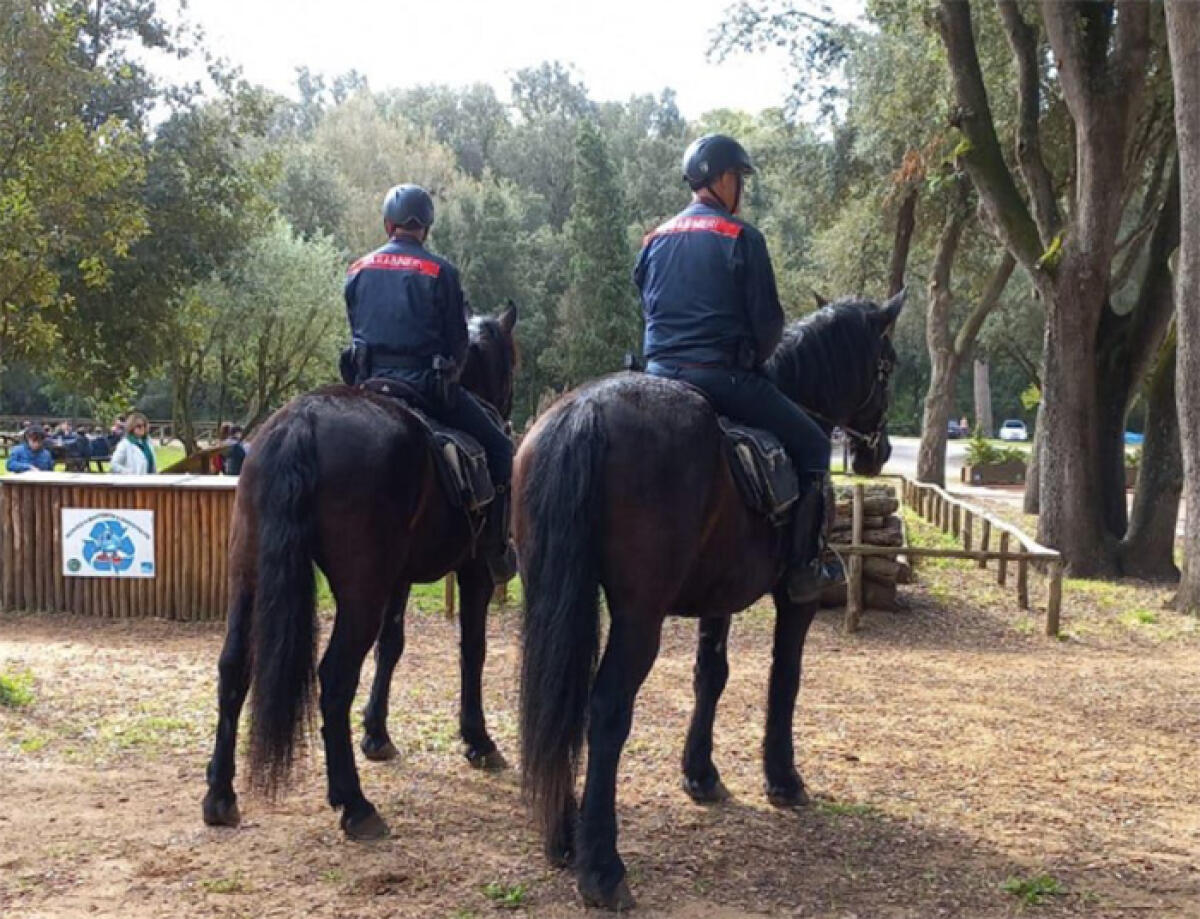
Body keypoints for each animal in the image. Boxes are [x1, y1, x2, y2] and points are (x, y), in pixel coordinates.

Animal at [202, 304, 518, 841]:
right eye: (512, 361)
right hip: (359, 593)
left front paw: (377, 733)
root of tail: (302, 422)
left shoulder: (398, 578)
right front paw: (478, 739)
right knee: (333, 678)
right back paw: (354, 803)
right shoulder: (474, 571)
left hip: (249, 578)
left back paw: (220, 793)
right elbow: (472, 650)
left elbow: (392, 646)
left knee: (233, 668)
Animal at [514, 293, 904, 910]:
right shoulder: (793, 600)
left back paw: (563, 836)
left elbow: (710, 676)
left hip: (552, 599)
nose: (879, 450)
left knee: (558, 698)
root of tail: (587, 410)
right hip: (638, 617)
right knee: (606, 710)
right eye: (885, 367)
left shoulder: (718, 597)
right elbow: (785, 679)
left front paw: (700, 773)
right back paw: (602, 867)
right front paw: (783, 778)